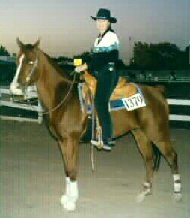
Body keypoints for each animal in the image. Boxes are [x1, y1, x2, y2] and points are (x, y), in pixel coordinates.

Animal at [10, 39, 181, 211]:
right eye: (18, 60)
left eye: (31, 61)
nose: (14, 88)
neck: (64, 98)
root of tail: (157, 91)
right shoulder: (62, 141)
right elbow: (67, 169)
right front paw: (67, 198)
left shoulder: (71, 141)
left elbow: (72, 169)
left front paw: (71, 201)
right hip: (141, 134)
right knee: (149, 159)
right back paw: (144, 192)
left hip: (157, 133)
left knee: (171, 156)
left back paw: (177, 194)